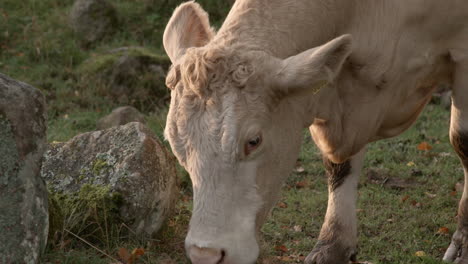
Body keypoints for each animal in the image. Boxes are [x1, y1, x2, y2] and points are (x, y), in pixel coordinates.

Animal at [162, 0, 468, 264]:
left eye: (253, 140)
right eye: (176, 146)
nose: (206, 255)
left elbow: (462, 140)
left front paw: (464, 245)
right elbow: (338, 165)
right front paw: (333, 245)